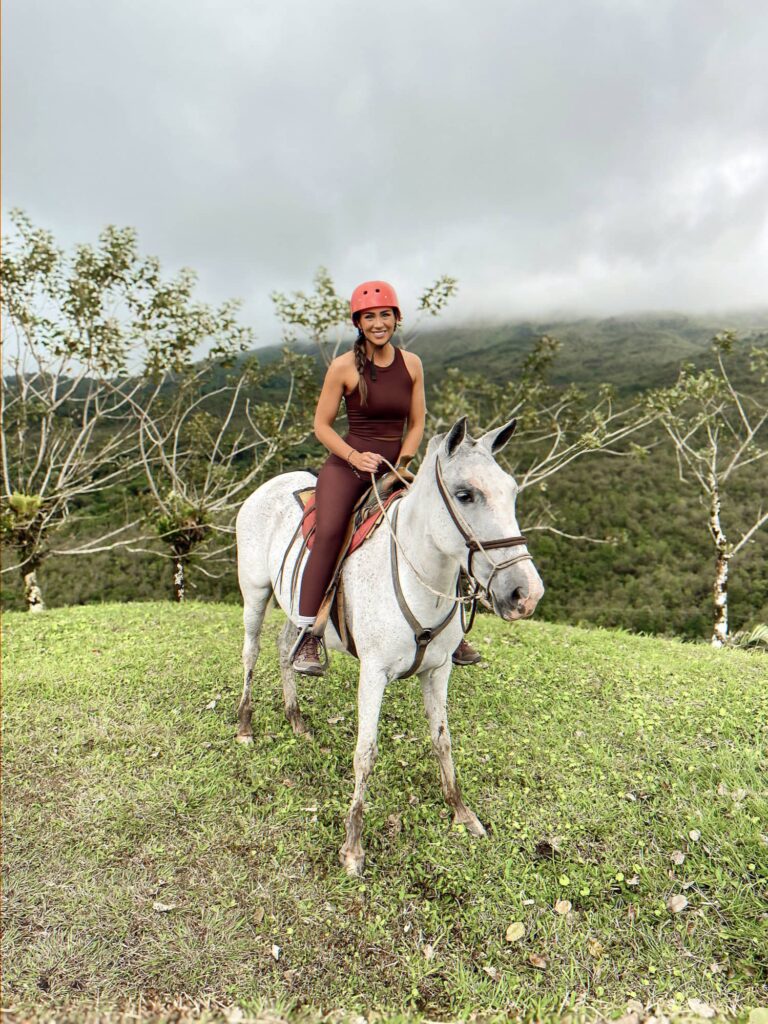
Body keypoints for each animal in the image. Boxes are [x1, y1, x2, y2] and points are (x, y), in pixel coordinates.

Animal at [237, 415, 544, 872]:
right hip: (255, 592)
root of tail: (268, 485)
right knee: (251, 651)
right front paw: (352, 847)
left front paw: (461, 813)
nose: (526, 594)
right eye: (465, 494)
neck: (421, 577)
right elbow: (365, 753)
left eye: (512, 492)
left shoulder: (438, 671)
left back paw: (296, 719)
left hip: (296, 609)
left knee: (285, 647)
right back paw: (244, 725)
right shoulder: (374, 673)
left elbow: (442, 740)